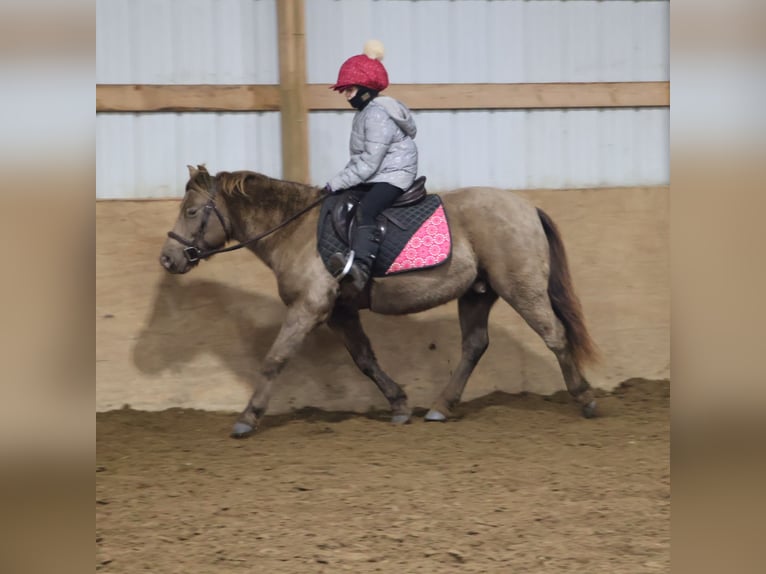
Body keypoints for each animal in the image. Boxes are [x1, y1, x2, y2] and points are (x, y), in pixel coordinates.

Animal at [159, 165, 599, 438]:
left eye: (192, 211)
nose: (168, 259)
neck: (295, 230)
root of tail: (528, 208)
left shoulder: (309, 308)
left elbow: (274, 359)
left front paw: (247, 418)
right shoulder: (339, 312)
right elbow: (365, 360)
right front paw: (400, 404)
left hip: (520, 287)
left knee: (555, 336)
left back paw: (586, 399)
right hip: (477, 293)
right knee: (475, 345)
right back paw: (441, 406)